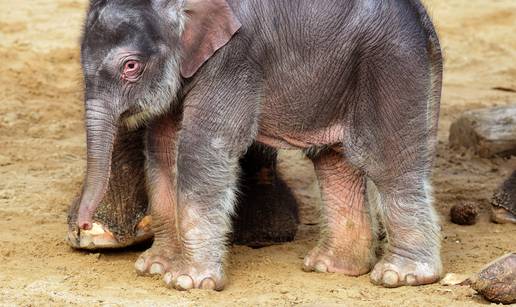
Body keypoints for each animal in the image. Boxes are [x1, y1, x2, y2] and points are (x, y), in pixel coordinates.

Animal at [75, 0, 444, 292]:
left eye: (131, 66)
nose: (83, 226)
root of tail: (424, 19)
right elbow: (162, 149)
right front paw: (154, 268)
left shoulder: (233, 61)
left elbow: (202, 148)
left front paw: (187, 282)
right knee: (334, 162)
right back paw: (332, 266)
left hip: (391, 65)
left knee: (389, 163)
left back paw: (402, 276)